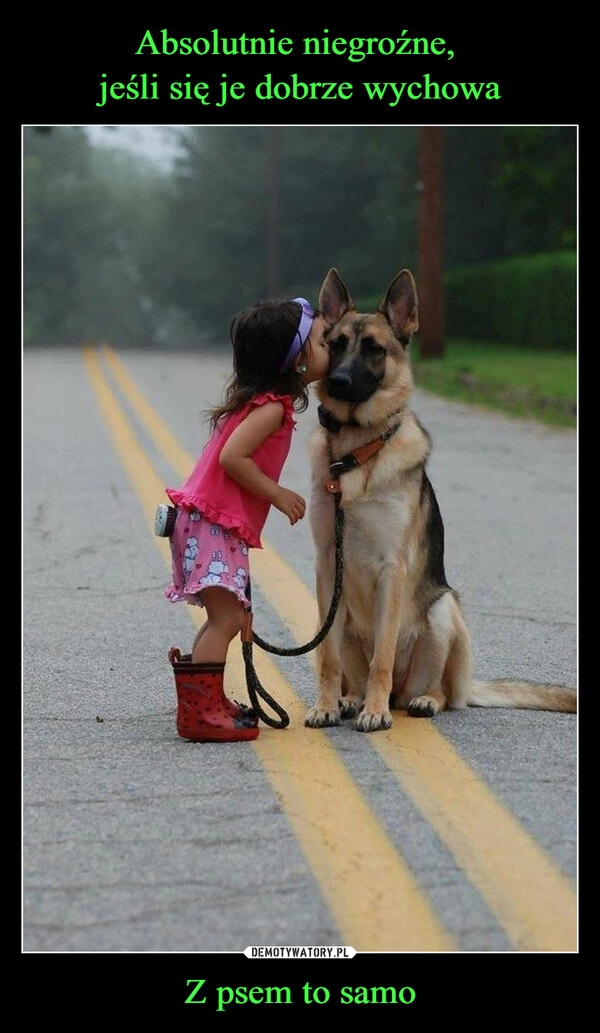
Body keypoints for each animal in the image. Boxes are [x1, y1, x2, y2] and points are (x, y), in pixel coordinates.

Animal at [303, 270, 574, 731]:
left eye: (373, 348)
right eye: (335, 344)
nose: (337, 381)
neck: (356, 451)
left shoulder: (391, 568)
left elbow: (382, 654)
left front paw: (375, 713)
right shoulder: (326, 566)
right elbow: (327, 656)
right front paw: (326, 705)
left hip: (444, 611)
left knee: (441, 693)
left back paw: (414, 701)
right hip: (350, 621)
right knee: (353, 671)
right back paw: (351, 699)